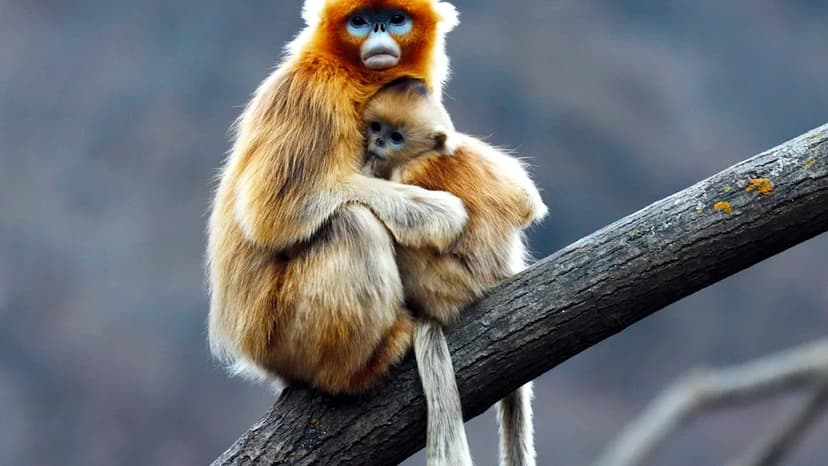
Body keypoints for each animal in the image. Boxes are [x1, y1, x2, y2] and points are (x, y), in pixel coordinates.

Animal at [207, 0, 464, 398]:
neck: (353, 75)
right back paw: (354, 371)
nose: (377, 28)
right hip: (281, 332)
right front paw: (439, 212)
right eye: (358, 21)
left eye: (396, 19)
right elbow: (273, 212)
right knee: (354, 223)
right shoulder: (314, 93)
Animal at [362, 78, 549, 466]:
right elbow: (528, 201)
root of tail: (500, 276)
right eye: (376, 128)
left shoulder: (410, 171)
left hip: (450, 285)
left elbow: (440, 223)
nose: (378, 143)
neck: (426, 154)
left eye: (397, 136)